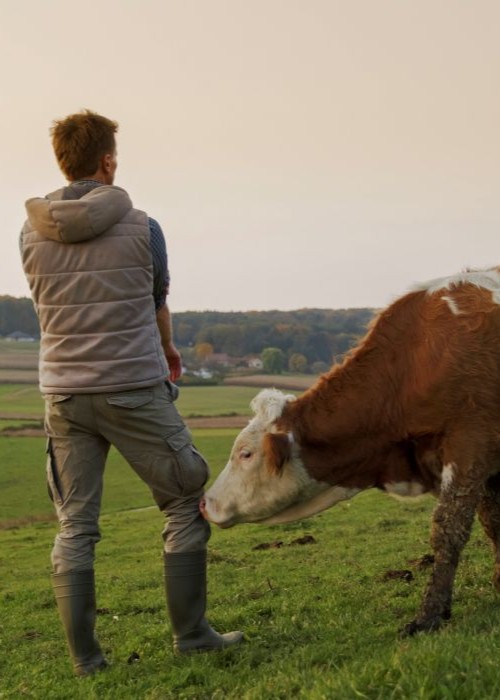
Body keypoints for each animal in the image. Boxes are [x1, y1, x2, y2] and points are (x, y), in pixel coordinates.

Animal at [201, 267, 500, 636]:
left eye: (245, 454)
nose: (205, 502)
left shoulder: (469, 446)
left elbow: (448, 531)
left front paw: (428, 615)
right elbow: (493, 524)